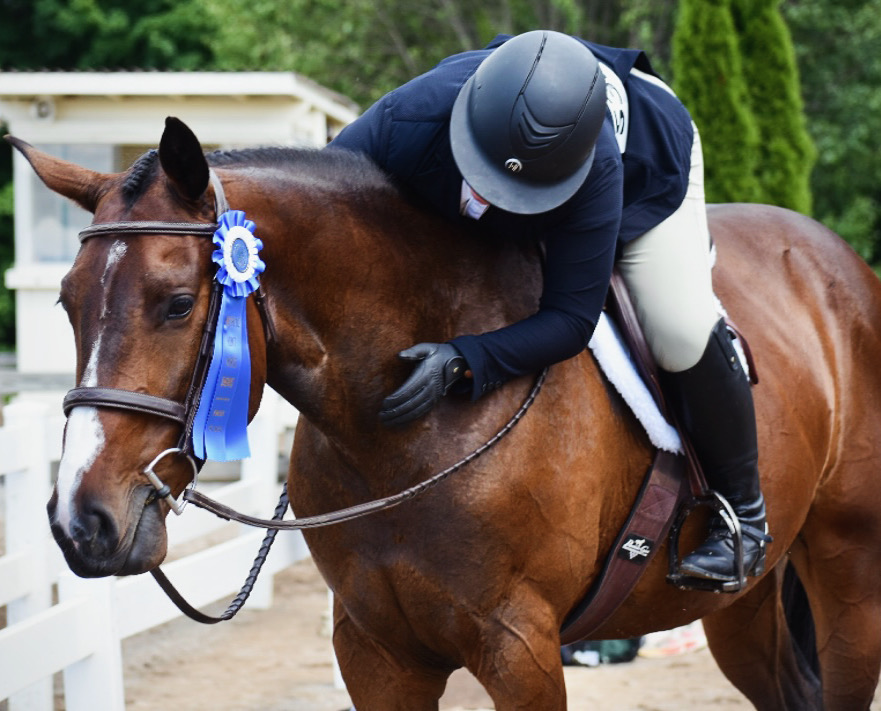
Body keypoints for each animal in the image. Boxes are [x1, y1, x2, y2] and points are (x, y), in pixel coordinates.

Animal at [9, 116, 881, 710]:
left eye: (177, 302)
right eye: (66, 303)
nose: (82, 522)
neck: (394, 437)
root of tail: (838, 261)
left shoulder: (520, 650)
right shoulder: (376, 653)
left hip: (846, 575)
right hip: (741, 604)